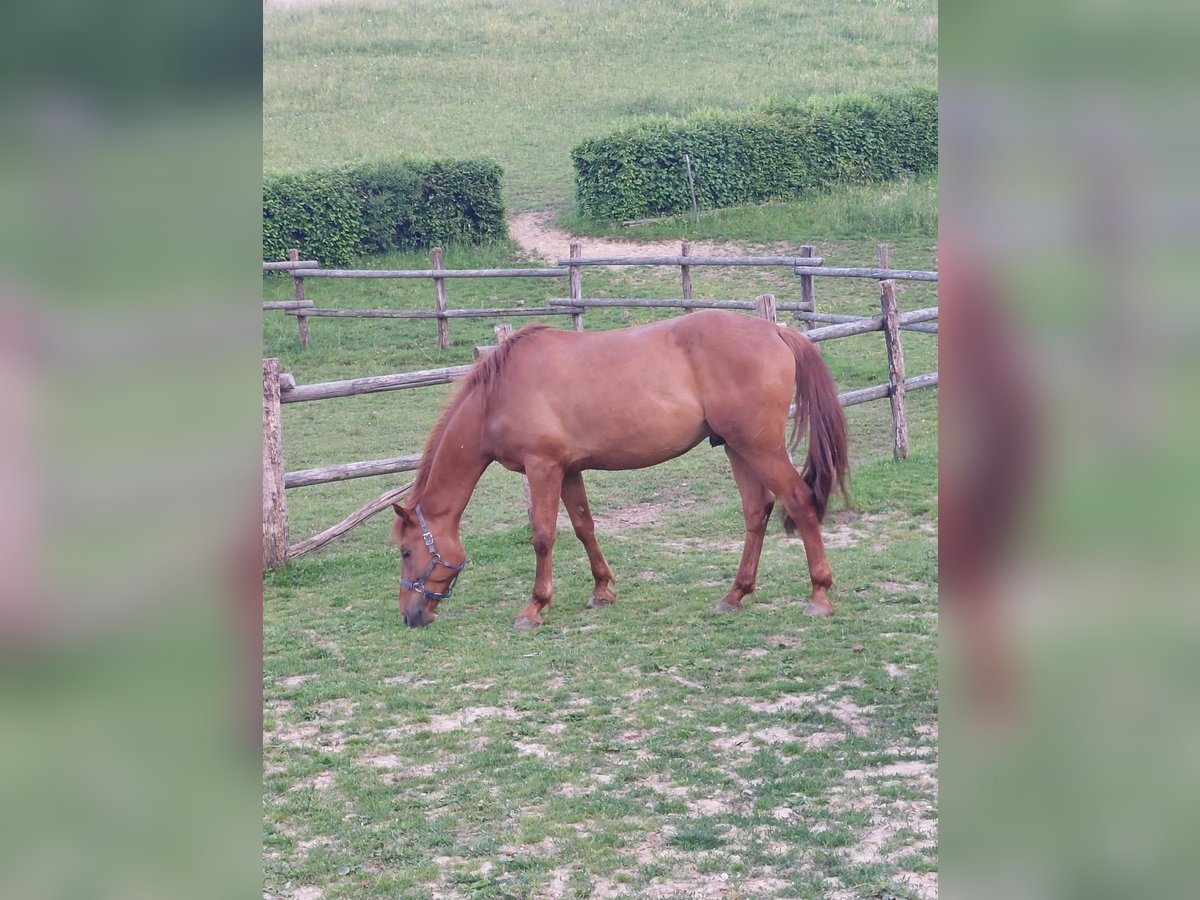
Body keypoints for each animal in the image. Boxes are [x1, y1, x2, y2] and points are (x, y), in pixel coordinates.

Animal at [391, 314, 844, 628]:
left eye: (406, 552)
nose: (410, 616)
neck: (498, 394)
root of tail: (776, 331)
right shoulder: (568, 470)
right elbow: (583, 526)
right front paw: (602, 589)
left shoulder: (542, 468)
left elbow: (543, 536)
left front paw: (535, 607)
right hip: (737, 447)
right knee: (756, 511)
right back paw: (735, 595)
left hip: (760, 448)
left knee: (799, 502)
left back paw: (819, 595)